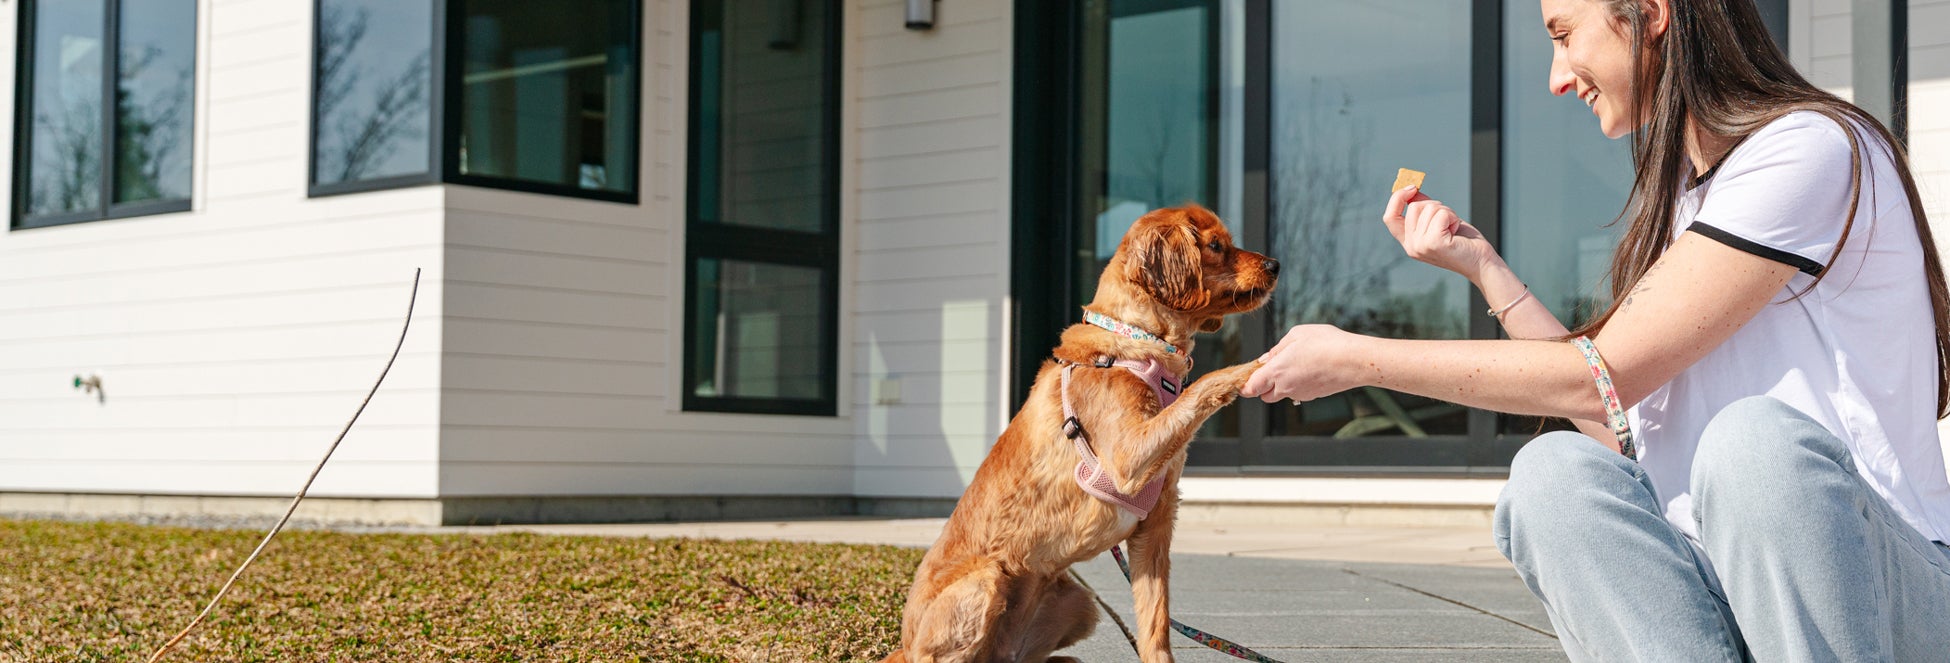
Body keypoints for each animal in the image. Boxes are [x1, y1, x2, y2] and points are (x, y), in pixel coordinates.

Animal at [885, 204, 1279, 659]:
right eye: (1216, 245)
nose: (1275, 264)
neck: (1136, 345)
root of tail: (903, 645)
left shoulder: (1154, 526)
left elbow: (1156, 624)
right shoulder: (1129, 460)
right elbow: (1205, 385)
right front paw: (1256, 366)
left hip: (1078, 600)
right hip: (984, 583)